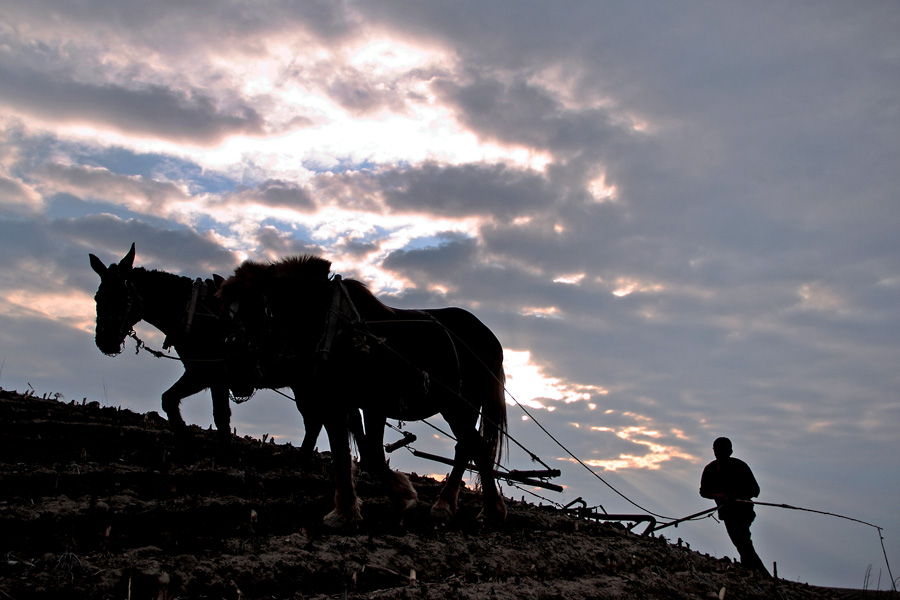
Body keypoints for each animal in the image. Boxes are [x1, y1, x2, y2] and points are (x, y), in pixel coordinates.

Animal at [87, 243, 326, 454]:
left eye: (123, 296)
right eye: (98, 297)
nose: (104, 341)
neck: (194, 314)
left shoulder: (209, 374)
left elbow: (220, 416)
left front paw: (222, 452)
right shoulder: (199, 372)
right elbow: (170, 400)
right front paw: (190, 443)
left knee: (315, 421)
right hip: (302, 384)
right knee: (314, 421)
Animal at [213, 255, 506, 524]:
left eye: (259, 310)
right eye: (225, 315)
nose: (235, 372)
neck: (331, 326)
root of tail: (489, 337)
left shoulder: (371, 403)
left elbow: (370, 453)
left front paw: (395, 499)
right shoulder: (338, 403)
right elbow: (347, 452)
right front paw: (353, 508)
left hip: (460, 405)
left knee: (476, 447)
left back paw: (488, 509)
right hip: (457, 407)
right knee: (466, 447)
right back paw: (448, 505)